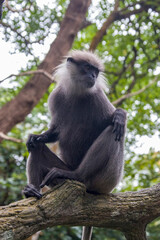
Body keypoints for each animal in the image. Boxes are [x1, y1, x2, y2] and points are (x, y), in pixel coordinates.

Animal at [23, 50, 127, 240]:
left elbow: (114, 121)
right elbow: (55, 131)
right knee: (37, 149)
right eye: (87, 68)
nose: (93, 76)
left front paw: (120, 115)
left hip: (107, 178)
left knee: (112, 130)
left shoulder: (98, 96)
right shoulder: (56, 96)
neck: (77, 93)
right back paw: (32, 192)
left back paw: (77, 176)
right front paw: (37, 137)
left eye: (96, 71)